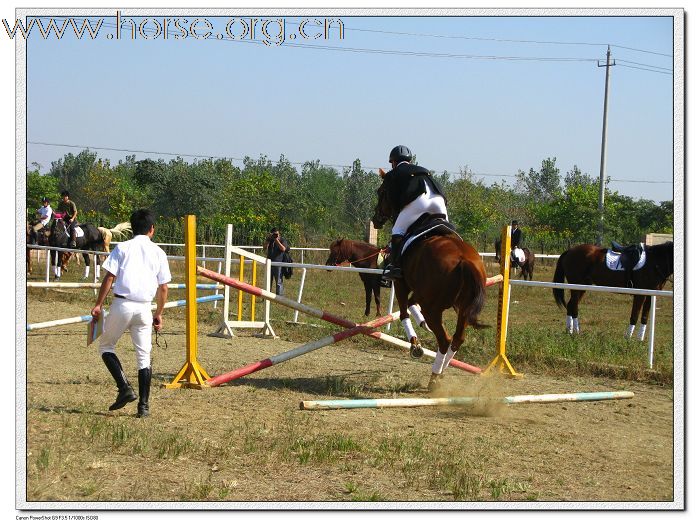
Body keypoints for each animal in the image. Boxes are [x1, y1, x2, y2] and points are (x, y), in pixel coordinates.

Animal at [372, 173, 486, 392]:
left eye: (381, 192)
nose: (376, 219)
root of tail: (464, 260)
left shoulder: (401, 283)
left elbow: (404, 312)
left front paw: (415, 344)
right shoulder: (419, 292)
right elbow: (411, 305)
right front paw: (422, 324)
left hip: (433, 307)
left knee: (445, 340)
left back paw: (434, 378)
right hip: (462, 308)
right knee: (457, 339)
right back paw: (441, 372)